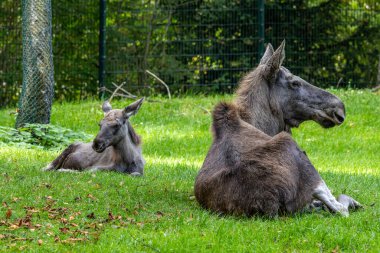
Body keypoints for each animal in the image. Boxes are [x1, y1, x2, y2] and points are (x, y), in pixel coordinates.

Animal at [194, 42, 360, 217]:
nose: (339, 107)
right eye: (294, 82)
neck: (260, 125)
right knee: (340, 208)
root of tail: (270, 200)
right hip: (295, 151)